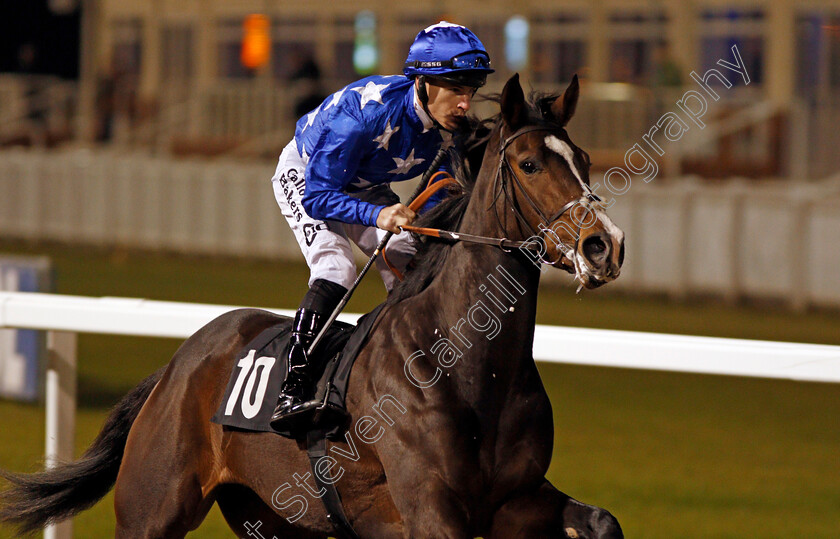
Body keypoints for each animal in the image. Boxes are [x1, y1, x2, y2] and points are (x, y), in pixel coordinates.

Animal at [0, 74, 624, 536]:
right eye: (529, 164)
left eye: (584, 159)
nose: (604, 245)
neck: (471, 367)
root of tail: (175, 368)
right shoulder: (430, 507)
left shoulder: (517, 499)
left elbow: (601, 521)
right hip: (151, 509)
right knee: (331, 263)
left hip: (274, 516)